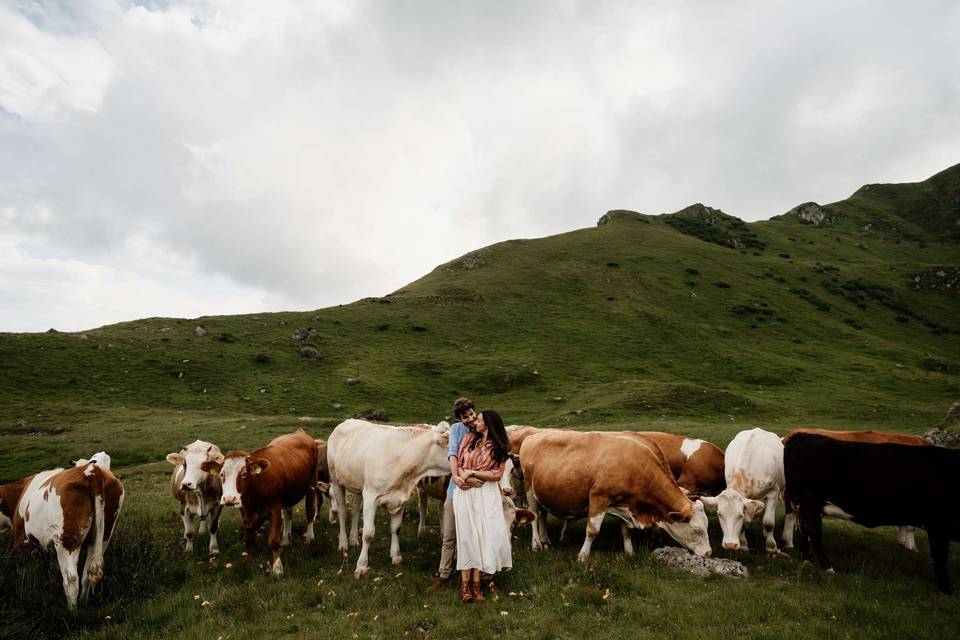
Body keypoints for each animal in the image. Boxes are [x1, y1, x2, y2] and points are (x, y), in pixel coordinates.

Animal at [0, 458, 124, 608]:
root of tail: (90, 470)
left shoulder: (20, 538)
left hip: (66, 541)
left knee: (71, 579)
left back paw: (72, 610)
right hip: (103, 535)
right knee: (87, 573)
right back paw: (83, 603)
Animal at [210, 430, 318, 576]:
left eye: (244, 473)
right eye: (221, 474)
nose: (229, 499)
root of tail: (300, 432)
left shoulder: (275, 509)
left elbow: (274, 540)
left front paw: (277, 567)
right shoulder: (246, 513)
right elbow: (248, 539)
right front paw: (247, 560)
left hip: (312, 485)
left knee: (310, 511)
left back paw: (309, 538)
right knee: (288, 514)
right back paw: (286, 540)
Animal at [328, 418, 452, 576]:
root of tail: (346, 421)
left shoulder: (401, 498)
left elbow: (396, 528)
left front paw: (396, 556)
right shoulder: (370, 496)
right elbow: (368, 533)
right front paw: (362, 565)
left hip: (357, 486)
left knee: (355, 510)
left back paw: (354, 539)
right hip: (336, 479)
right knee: (343, 512)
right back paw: (343, 543)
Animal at [516, 430, 712, 560]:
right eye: (697, 530)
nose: (709, 553)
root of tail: (533, 436)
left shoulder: (626, 503)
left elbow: (626, 530)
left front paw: (629, 552)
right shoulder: (599, 498)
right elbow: (592, 531)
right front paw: (583, 557)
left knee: (542, 515)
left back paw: (545, 538)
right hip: (529, 490)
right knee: (534, 516)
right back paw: (536, 544)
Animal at [784, 432, 960, 592]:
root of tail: (803, 435)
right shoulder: (938, 522)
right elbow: (940, 555)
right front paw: (946, 586)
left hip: (800, 503)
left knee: (802, 527)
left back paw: (806, 559)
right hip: (810, 498)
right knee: (812, 529)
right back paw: (828, 568)